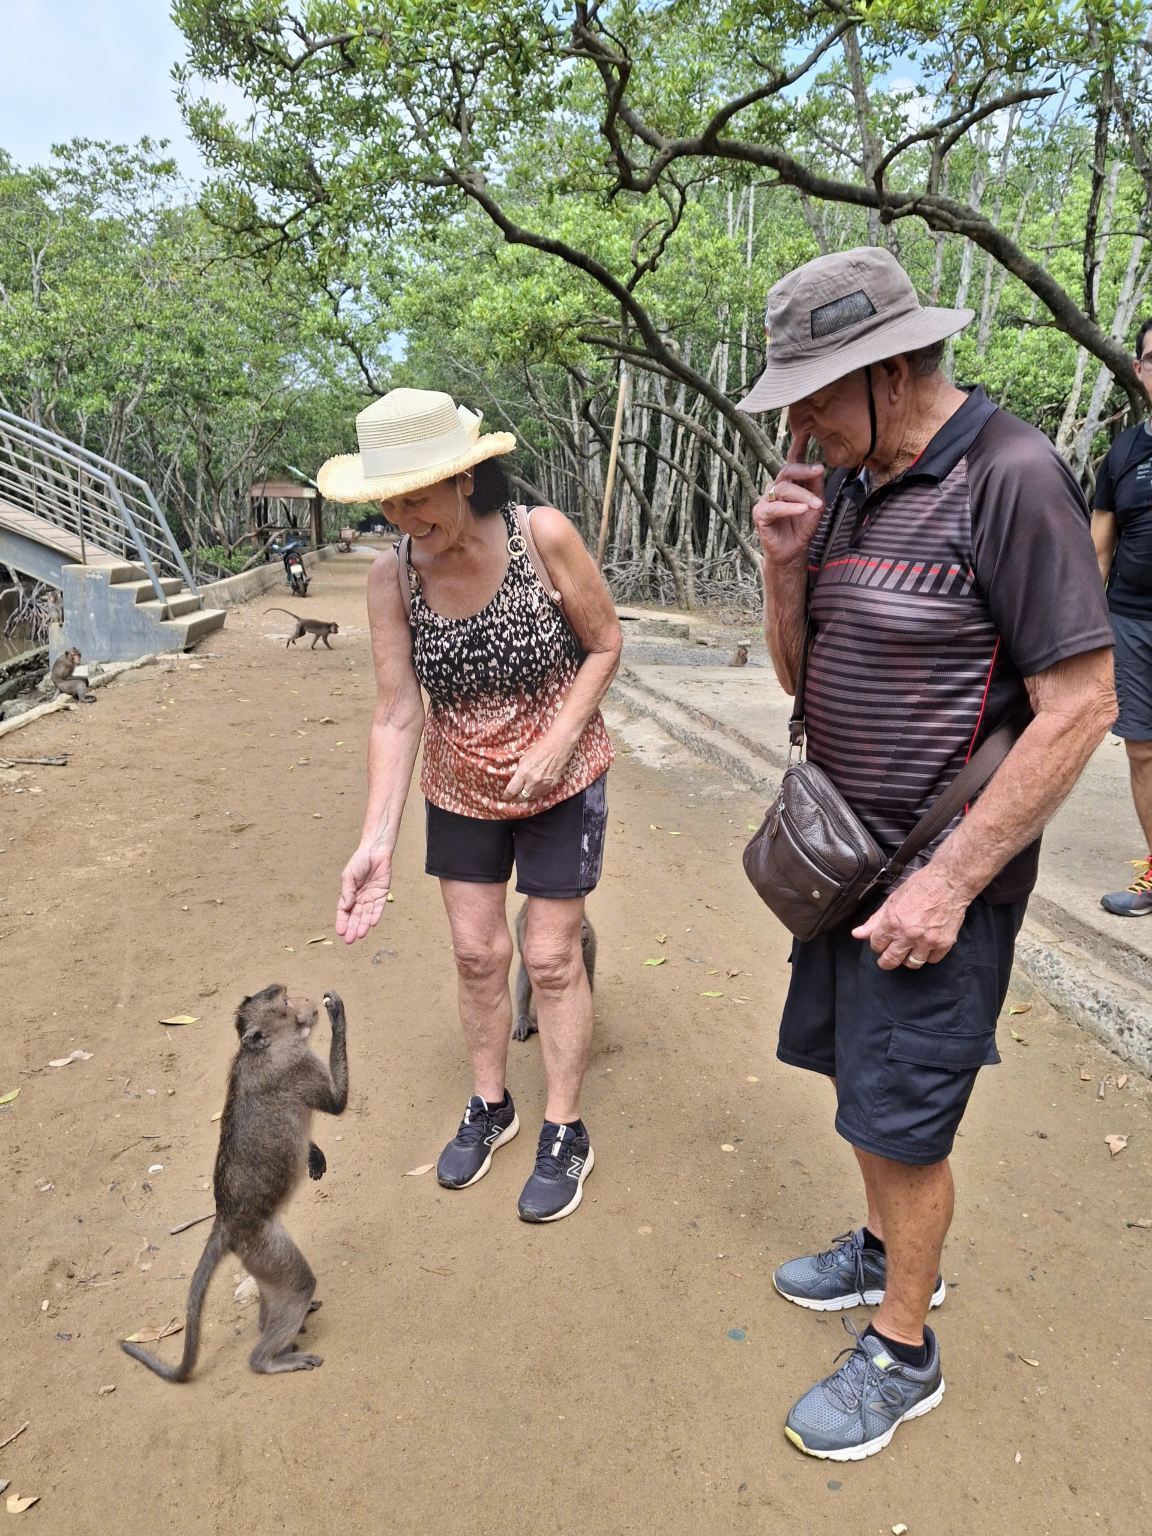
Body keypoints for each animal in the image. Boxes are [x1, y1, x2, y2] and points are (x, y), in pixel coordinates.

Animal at [121, 985, 348, 1381]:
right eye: (286, 1003)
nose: (306, 1002)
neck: (260, 1050)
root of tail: (225, 1219)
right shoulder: (295, 1063)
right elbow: (337, 1103)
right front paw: (337, 1015)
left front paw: (313, 1153)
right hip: (262, 1246)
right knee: (298, 1285)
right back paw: (267, 1360)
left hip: (257, 1256)